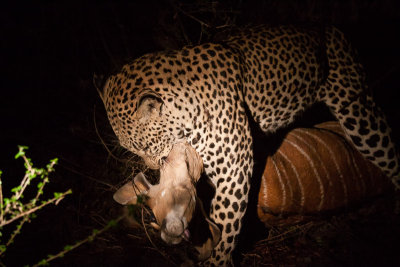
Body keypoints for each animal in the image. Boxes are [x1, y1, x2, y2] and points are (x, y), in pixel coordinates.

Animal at [97, 24, 400, 266]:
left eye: (146, 146)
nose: (154, 165)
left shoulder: (233, 169)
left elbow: (225, 222)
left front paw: (218, 260)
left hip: (357, 112)